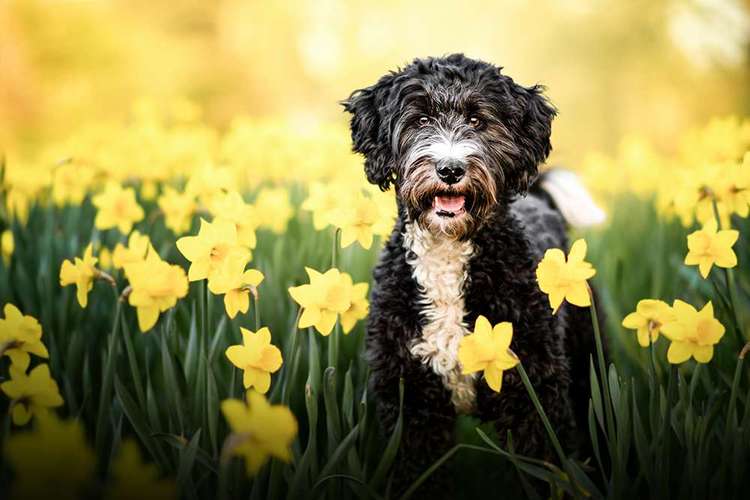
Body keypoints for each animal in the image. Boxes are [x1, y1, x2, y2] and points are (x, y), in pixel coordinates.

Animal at [344, 53, 608, 492]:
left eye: (478, 120)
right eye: (420, 119)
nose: (450, 169)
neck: (449, 255)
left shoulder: (532, 390)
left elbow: (544, 463)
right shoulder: (411, 399)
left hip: (589, 353)